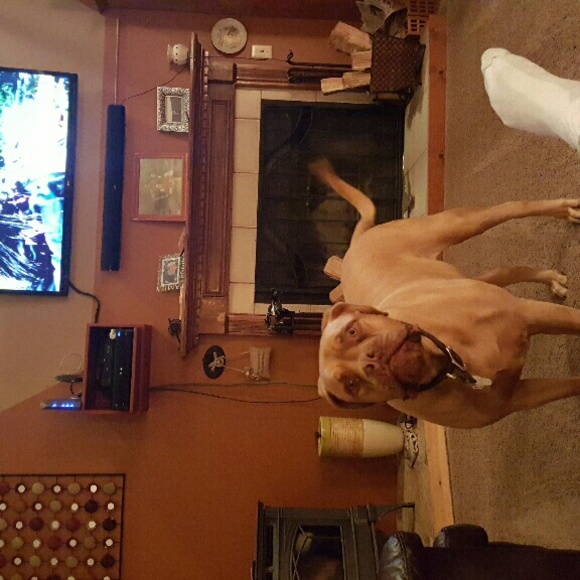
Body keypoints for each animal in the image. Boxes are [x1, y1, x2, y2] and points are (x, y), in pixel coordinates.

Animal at [310, 158, 580, 429]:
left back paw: (568, 211)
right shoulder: (517, 398)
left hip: (457, 225)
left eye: (352, 331)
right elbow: (571, 385)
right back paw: (553, 279)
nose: (371, 361)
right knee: (506, 270)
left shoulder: (532, 313)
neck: (448, 358)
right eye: (351, 384)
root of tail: (354, 244)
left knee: (514, 206)